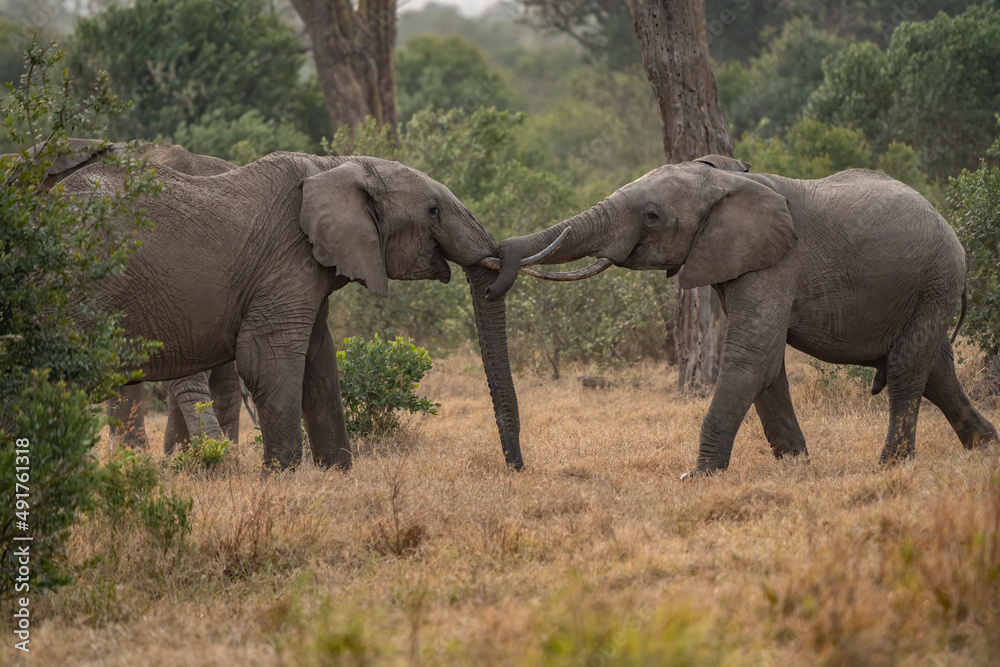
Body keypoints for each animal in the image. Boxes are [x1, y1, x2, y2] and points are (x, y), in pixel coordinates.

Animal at [60, 150, 530, 470]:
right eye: (433, 210)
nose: (516, 467)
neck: (339, 166)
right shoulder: (286, 262)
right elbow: (267, 359)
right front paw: (282, 480)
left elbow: (319, 362)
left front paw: (336, 474)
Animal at [485, 155, 998, 478]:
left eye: (651, 216)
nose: (491, 267)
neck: (727, 181)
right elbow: (767, 364)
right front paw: (796, 465)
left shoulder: (777, 263)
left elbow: (750, 355)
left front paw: (697, 476)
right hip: (926, 289)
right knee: (935, 371)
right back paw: (986, 447)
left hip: (935, 280)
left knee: (909, 369)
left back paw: (891, 465)